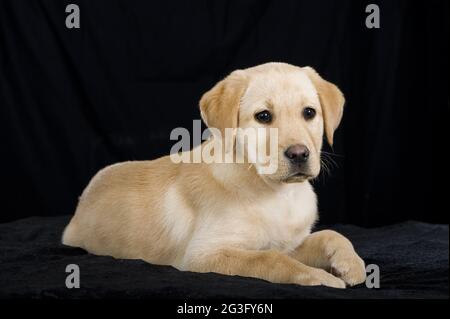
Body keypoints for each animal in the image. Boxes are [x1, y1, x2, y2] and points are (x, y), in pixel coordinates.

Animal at [62, 62, 366, 288]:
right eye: (263, 116)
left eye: (309, 112)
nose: (300, 154)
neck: (275, 192)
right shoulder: (202, 255)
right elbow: (269, 259)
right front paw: (320, 277)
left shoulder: (289, 242)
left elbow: (330, 235)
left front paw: (351, 263)